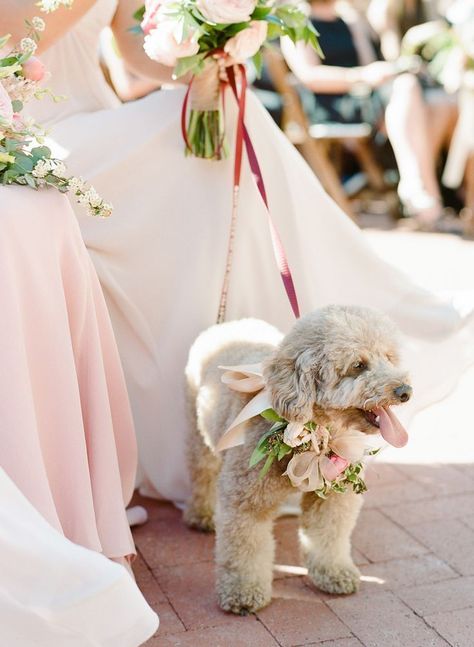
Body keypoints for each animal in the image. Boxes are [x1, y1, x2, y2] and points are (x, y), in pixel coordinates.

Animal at [184, 306, 412, 616]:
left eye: (388, 357)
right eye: (358, 365)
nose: (405, 391)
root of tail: (227, 323)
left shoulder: (333, 497)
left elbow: (329, 535)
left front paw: (334, 573)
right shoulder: (245, 499)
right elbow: (244, 549)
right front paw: (243, 592)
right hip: (199, 437)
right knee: (202, 474)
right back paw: (201, 515)